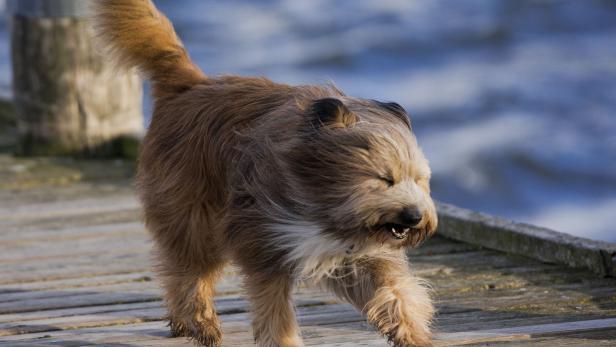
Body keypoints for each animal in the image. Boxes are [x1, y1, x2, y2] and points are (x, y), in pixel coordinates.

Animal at [92, 1, 438, 346]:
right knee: (188, 274)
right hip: (193, 219)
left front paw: (410, 332)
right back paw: (201, 323)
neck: (322, 204)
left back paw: (182, 322)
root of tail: (191, 85)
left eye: (420, 181)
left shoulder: (357, 255)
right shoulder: (265, 244)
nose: (413, 217)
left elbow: (395, 293)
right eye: (384, 179)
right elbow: (275, 312)